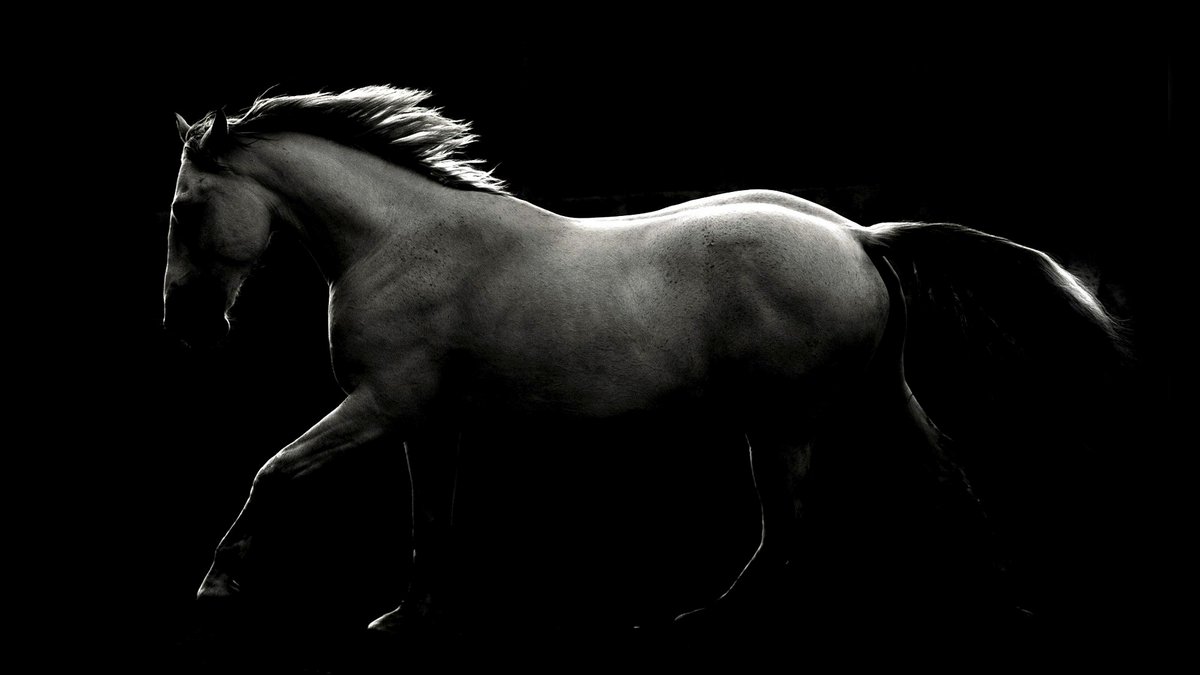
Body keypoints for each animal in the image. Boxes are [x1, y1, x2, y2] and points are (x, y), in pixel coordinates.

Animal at [164, 85, 1126, 636]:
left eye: (183, 209)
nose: (186, 328)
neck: (401, 243)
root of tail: (855, 235)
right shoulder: (429, 426)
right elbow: (428, 523)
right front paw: (408, 617)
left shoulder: (382, 405)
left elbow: (273, 470)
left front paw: (217, 584)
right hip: (867, 399)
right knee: (940, 485)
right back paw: (1004, 599)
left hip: (784, 422)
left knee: (788, 533)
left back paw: (702, 621)